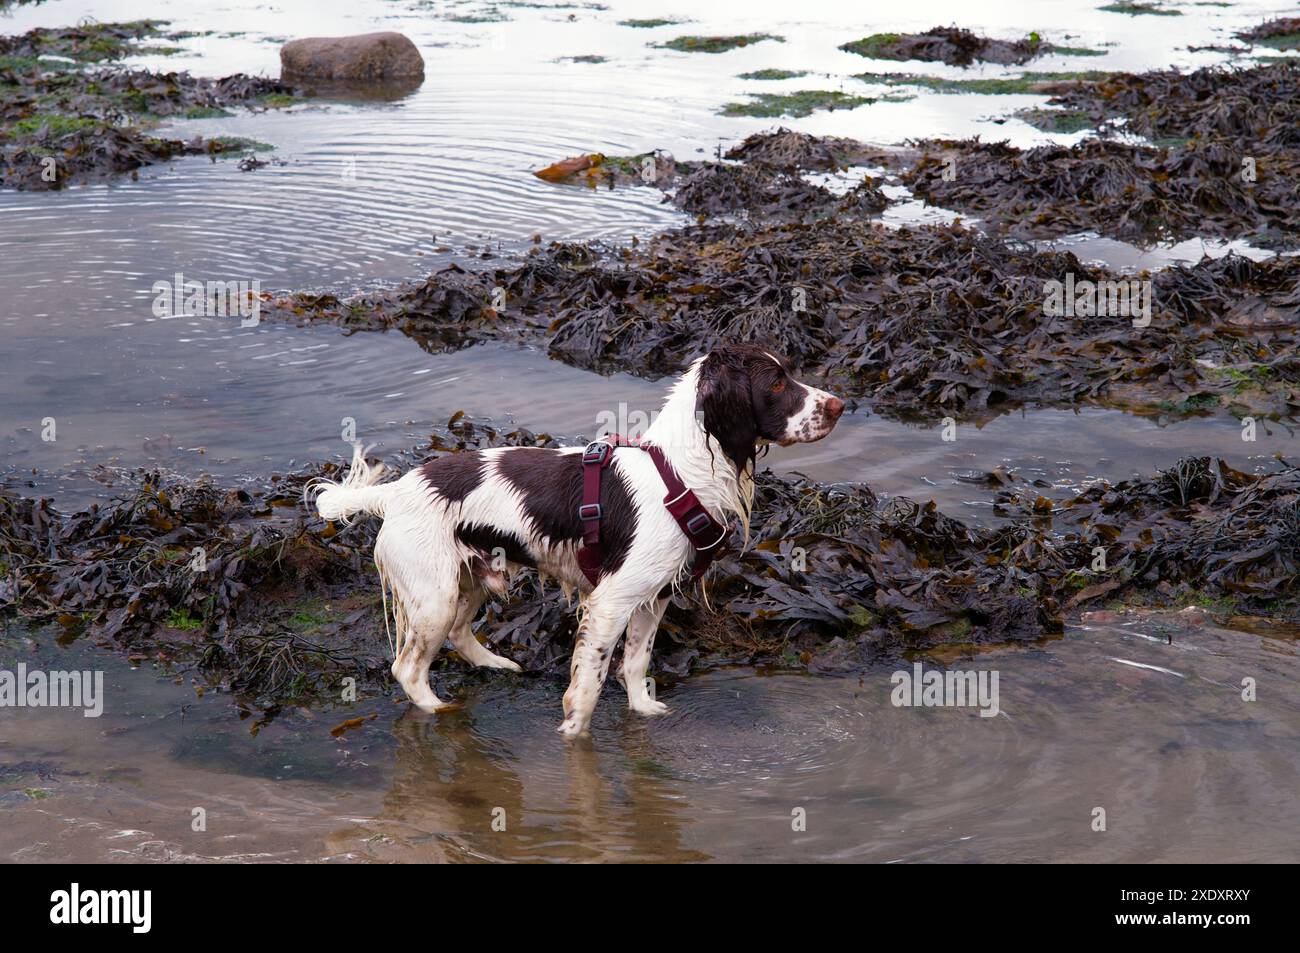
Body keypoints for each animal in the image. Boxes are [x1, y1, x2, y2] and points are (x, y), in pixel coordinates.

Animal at [313, 343, 842, 738]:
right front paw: (574, 737)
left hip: (473, 577)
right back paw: (440, 710)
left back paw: (498, 664)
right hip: (434, 594)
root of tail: (396, 491)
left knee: (461, 633)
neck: (680, 471)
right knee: (409, 668)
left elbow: (635, 663)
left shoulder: (653, 597)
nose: (838, 406)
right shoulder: (611, 601)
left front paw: (644, 712)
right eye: (776, 384)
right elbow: (589, 682)